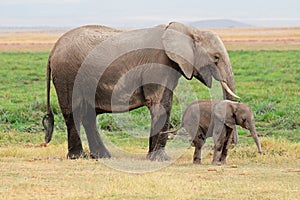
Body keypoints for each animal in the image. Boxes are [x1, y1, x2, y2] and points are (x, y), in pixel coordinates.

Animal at [42, 21, 239, 161]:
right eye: (216, 57)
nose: (233, 145)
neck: (189, 30)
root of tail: (52, 51)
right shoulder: (157, 64)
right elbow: (160, 104)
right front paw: (161, 159)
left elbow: (165, 102)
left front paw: (154, 158)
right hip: (68, 74)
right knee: (74, 112)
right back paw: (79, 157)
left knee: (88, 115)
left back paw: (102, 157)